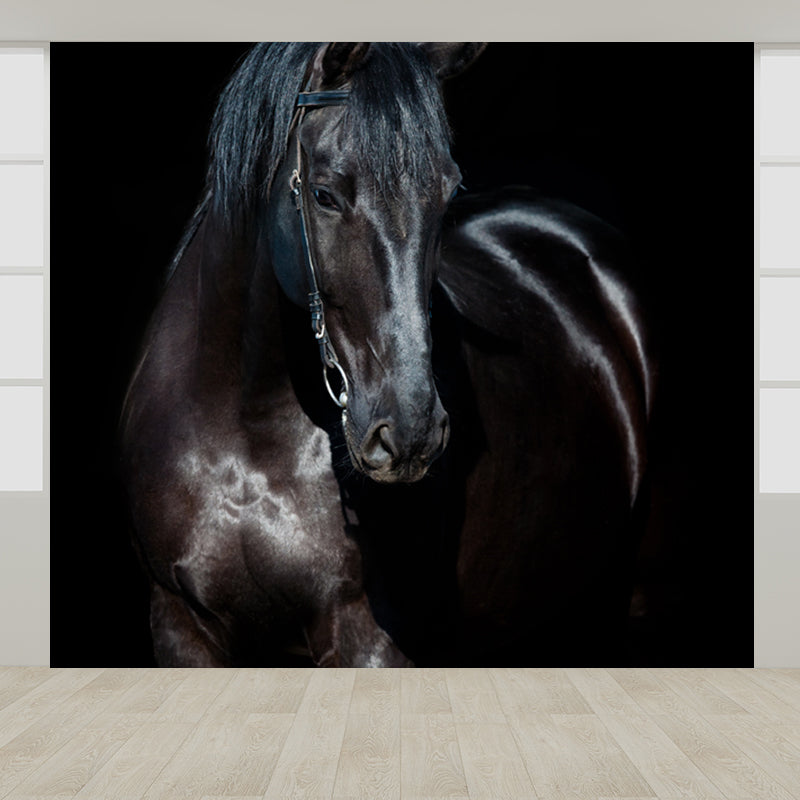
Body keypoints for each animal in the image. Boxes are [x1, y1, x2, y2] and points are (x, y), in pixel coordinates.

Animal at [120, 42, 655, 667]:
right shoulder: (180, 624)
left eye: (447, 196)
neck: (245, 435)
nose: (410, 431)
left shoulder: (366, 636)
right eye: (324, 195)